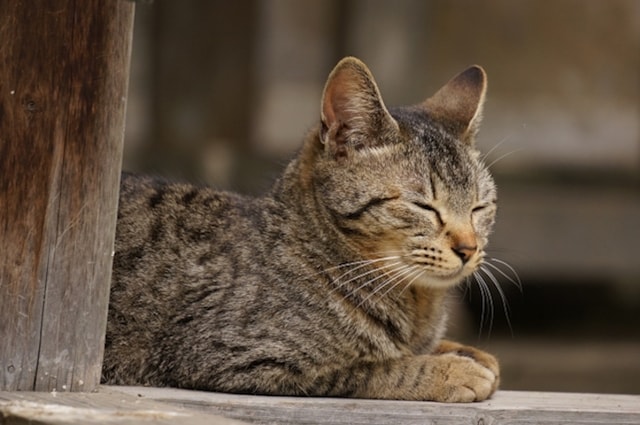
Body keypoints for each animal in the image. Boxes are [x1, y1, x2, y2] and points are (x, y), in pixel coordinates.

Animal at [104, 56, 500, 400]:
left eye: (481, 206)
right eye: (423, 206)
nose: (468, 248)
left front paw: (468, 352)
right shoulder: (240, 357)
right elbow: (373, 368)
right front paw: (451, 369)